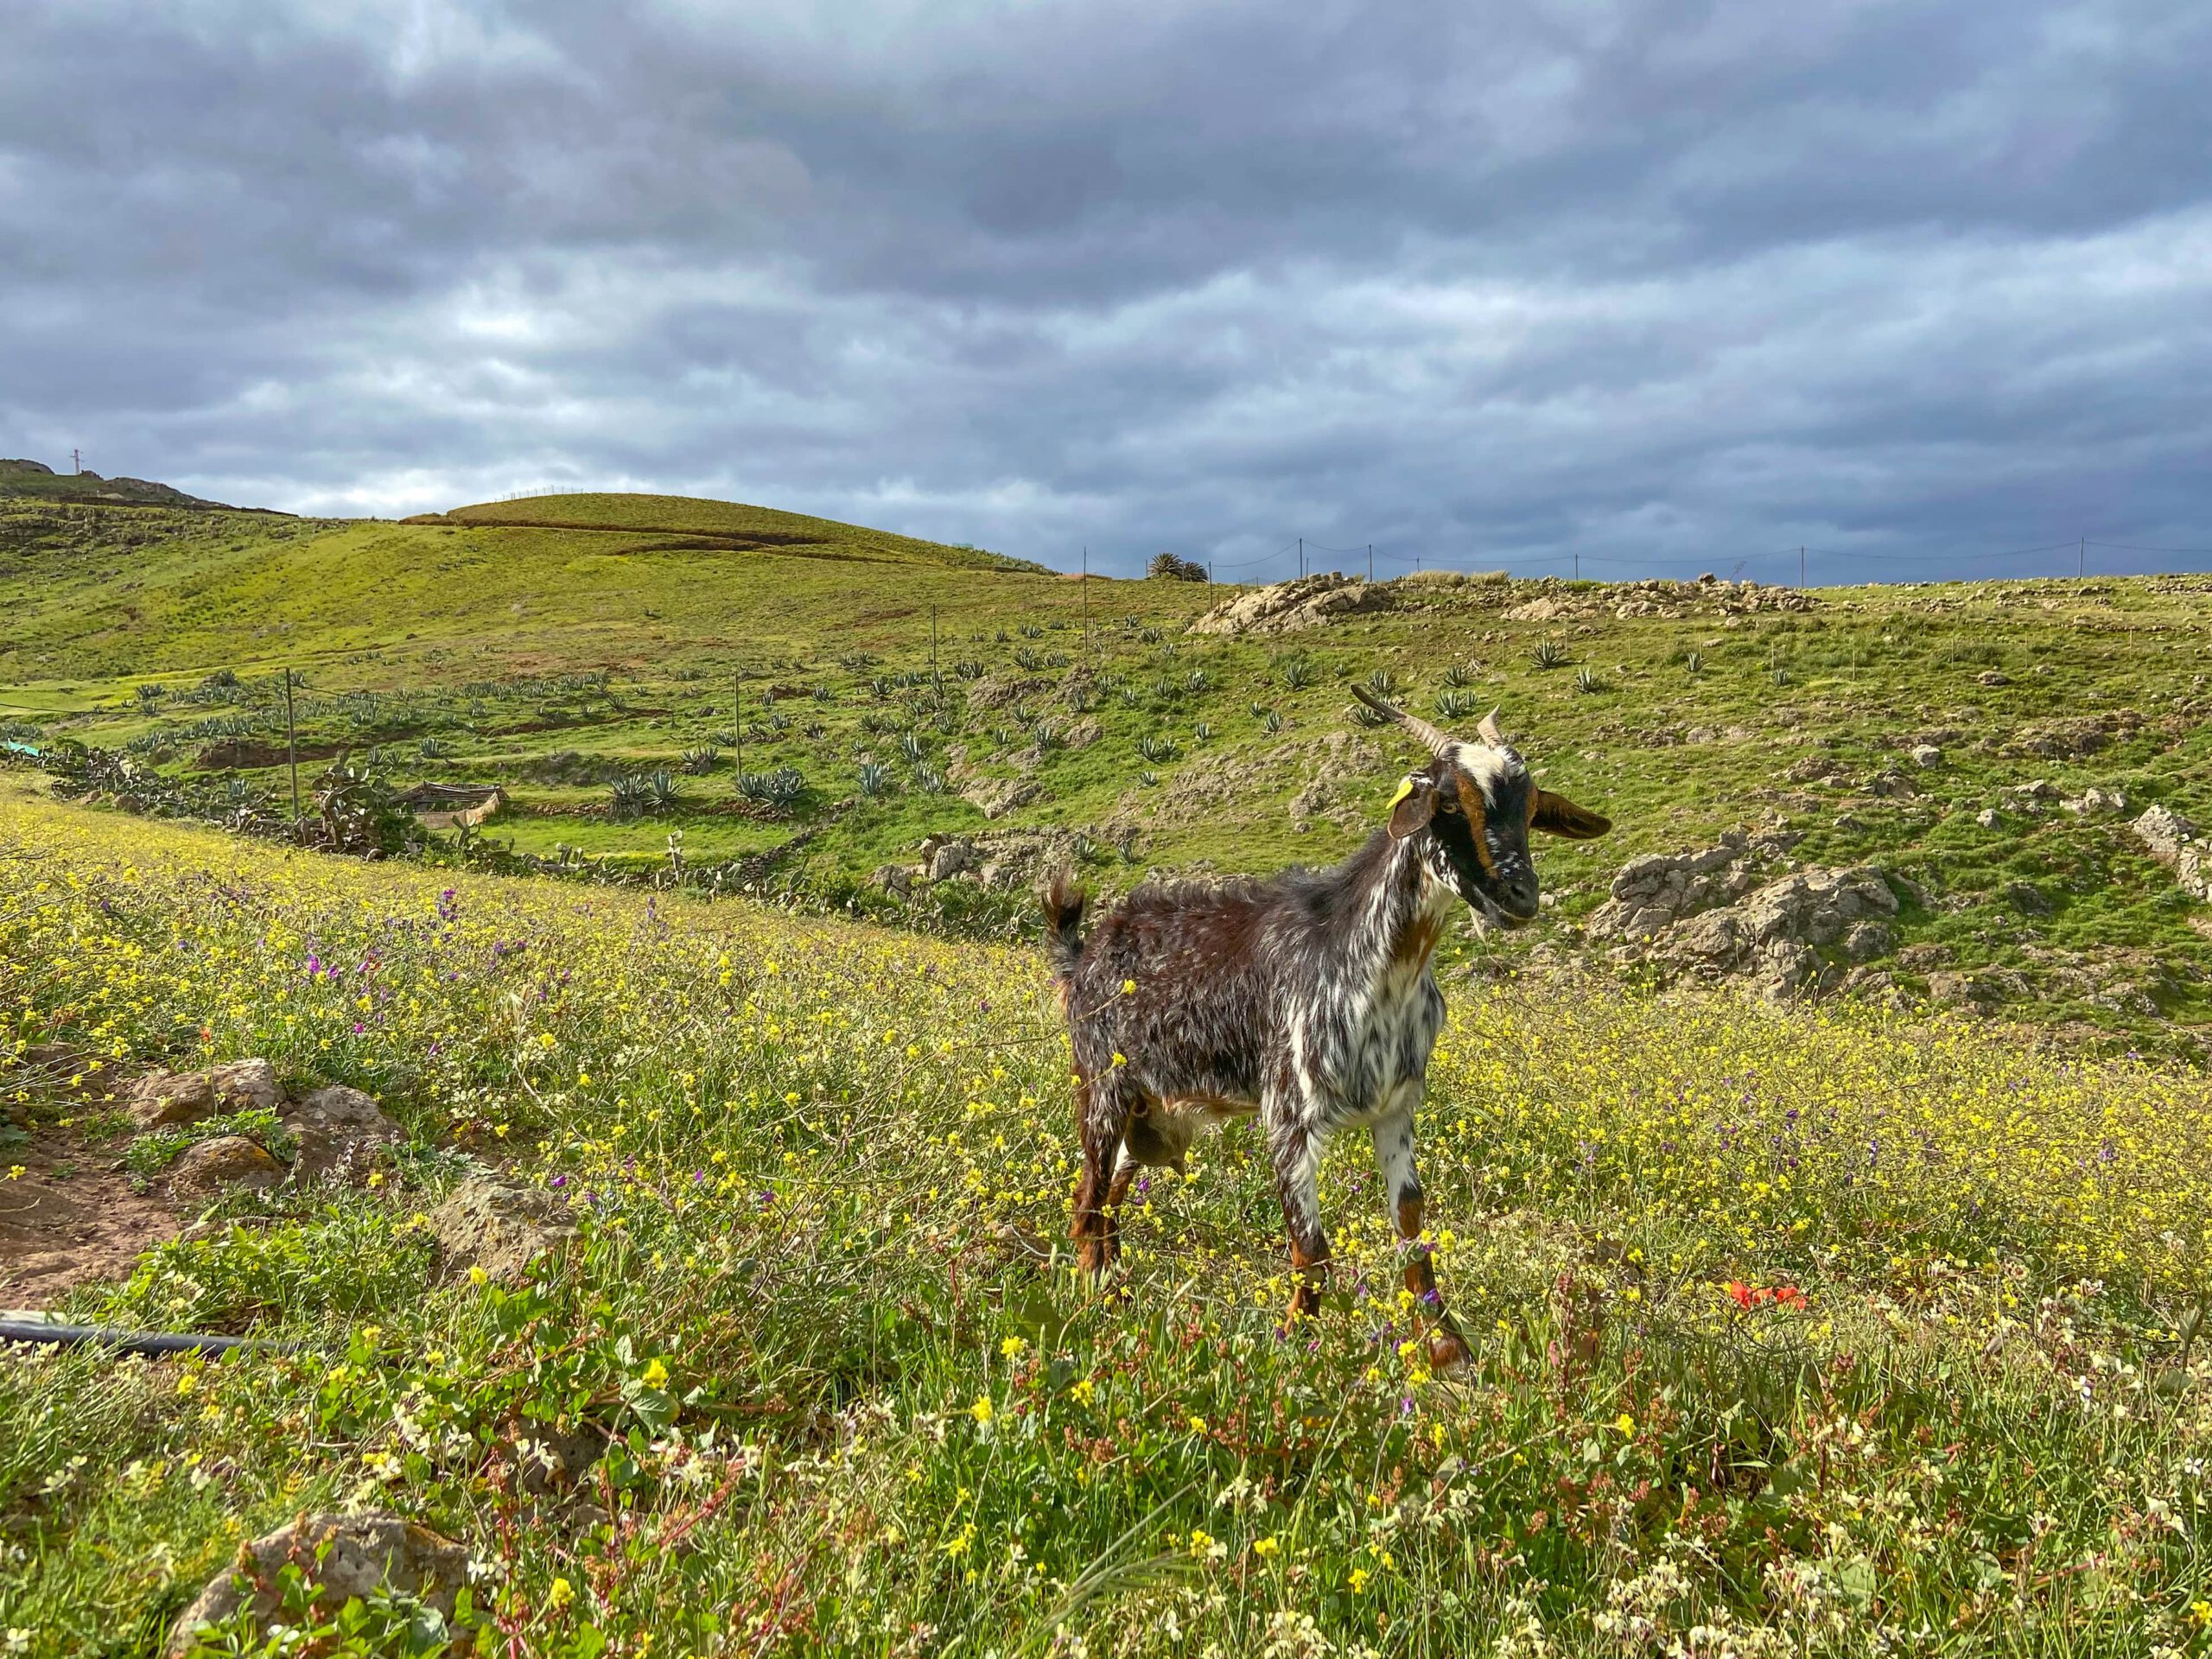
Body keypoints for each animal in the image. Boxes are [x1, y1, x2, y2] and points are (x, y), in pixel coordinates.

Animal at [1042, 689, 1610, 1367]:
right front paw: (1295, 1349)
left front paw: (1446, 1346)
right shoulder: (1288, 1112)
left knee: (1107, 1204)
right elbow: (1311, 1252)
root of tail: (1083, 956)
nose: (1520, 897)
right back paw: (1095, 1305)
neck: (1373, 965)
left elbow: (1412, 1231)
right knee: (1088, 1201)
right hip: (1103, 1090)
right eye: (1447, 802)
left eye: (1529, 806)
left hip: (1152, 1114)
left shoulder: (1395, 1109)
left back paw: (1118, 1299)